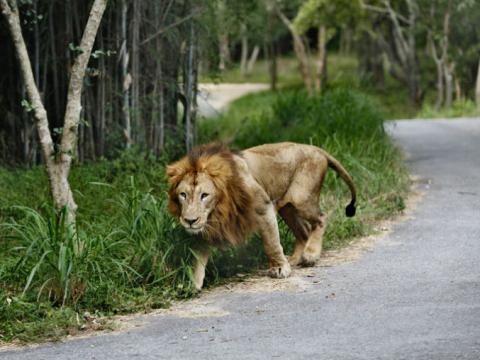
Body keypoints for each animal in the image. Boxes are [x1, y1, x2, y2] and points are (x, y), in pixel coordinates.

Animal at [166, 141, 356, 290]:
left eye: (204, 195)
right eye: (183, 195)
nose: (190, 221)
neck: (219, 207)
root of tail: (317, 149)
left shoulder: (263, 207)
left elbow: (271, 242)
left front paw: (279, 269)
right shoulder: (205, 225)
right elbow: (198, 255)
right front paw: (192, 283)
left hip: (301, 198)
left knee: (321, 218)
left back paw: (310, 254)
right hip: (287, 208)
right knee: (303, 232)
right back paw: (295, 259)